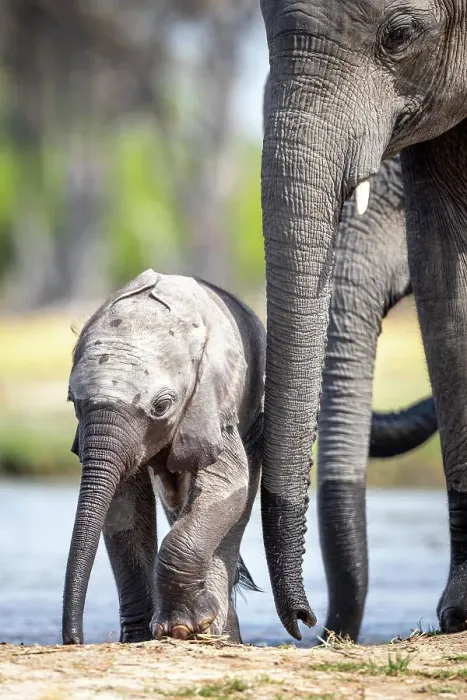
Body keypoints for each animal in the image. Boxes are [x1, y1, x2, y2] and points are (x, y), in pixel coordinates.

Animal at [62, 269, 265, 645]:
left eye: (162, 406)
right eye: (72, 400)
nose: (73, 640)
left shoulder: (213, 401)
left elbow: (227, 484)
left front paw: (182, 629)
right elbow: (123, 503)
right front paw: (139, 638)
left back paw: (217, 632)